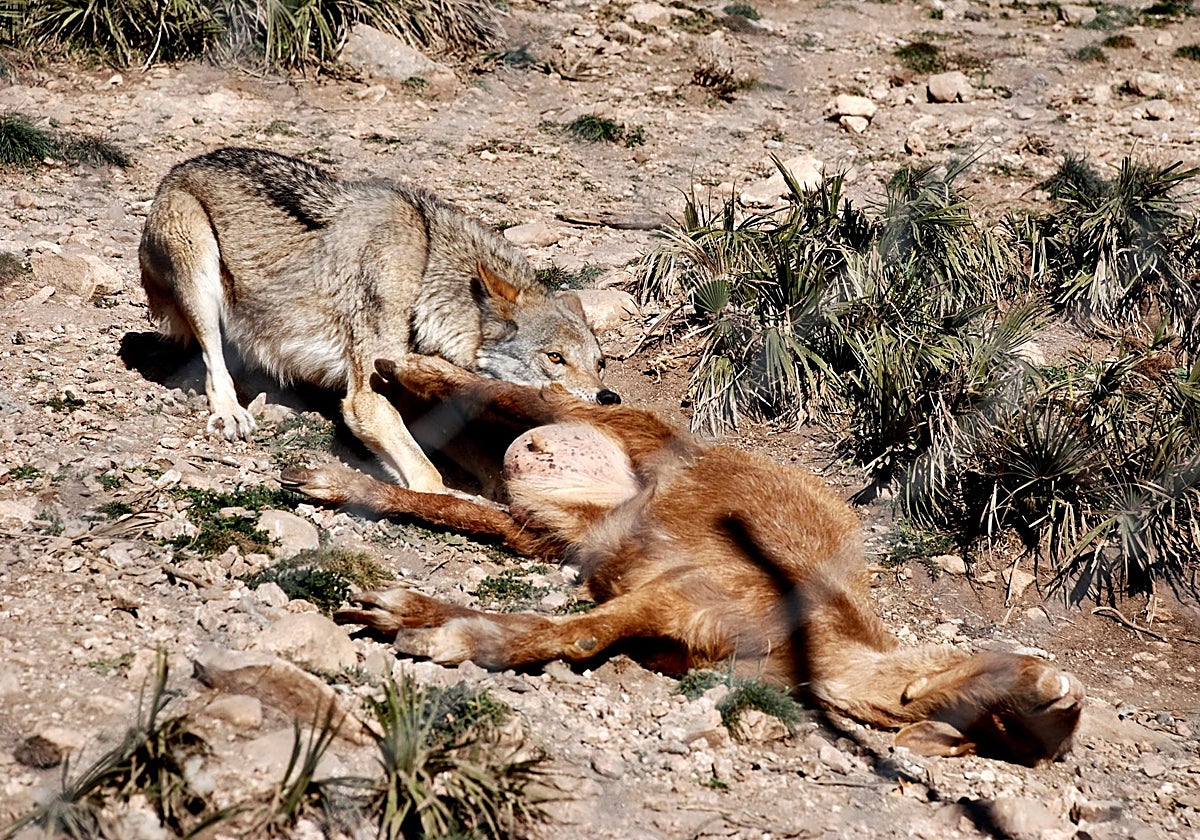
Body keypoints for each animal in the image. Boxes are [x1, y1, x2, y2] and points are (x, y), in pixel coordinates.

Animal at [139, 147, 617, 493]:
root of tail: (181, 166)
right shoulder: (366, 400)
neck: (424, 272)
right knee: (213, 359)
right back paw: (232, 411)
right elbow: (429, 476)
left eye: (600, 363)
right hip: (199, 269)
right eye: (555, 358)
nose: (608, 399)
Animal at [284, 355, 1085, 766]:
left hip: (545, 527)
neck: (814, 645)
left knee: (461, 499)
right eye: (1028, 692)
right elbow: (576, 633)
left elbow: (581, 633)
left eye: (1013, 735)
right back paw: (397, 368)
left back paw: (334, 480)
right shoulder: (693, 587)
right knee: (524, 392)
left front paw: (414, 619)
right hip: (609, 427)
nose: (1062, 690)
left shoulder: (675, 622)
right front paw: (434, 630)